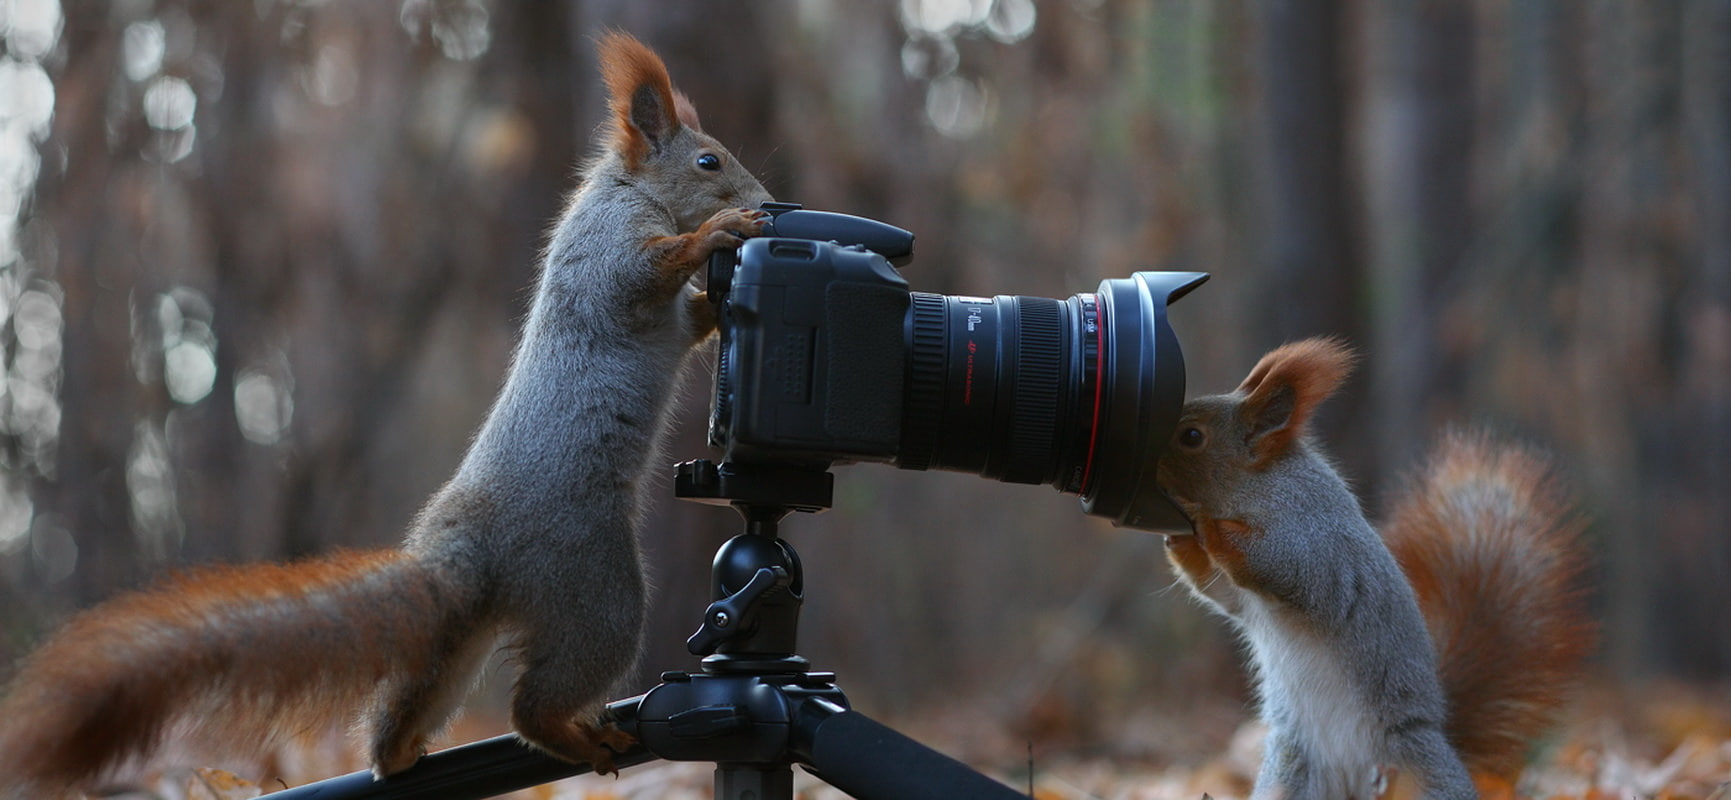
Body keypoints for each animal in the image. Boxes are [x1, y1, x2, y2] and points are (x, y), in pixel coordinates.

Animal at [0, 32, 772, 798]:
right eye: (708, 161)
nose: (766, 200)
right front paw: (720, 229)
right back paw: (578, 735)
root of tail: (471, 555)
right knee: (532, 706)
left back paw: (396, 754)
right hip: (599, 591)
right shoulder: (609, 254)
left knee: (420, 693)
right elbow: (643, 274)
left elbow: (692, 320)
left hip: (461, 637)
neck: (627, 190)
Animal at [1156, 337, 1595, 800]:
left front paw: (1204, 522)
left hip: (1419, 774)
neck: (1257, 484)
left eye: (1191, 436)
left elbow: (1278, 563)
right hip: (1290, 778)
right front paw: (1181, 539)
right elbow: (1219, 590)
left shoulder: (1314, 541)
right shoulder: (1242, 596)